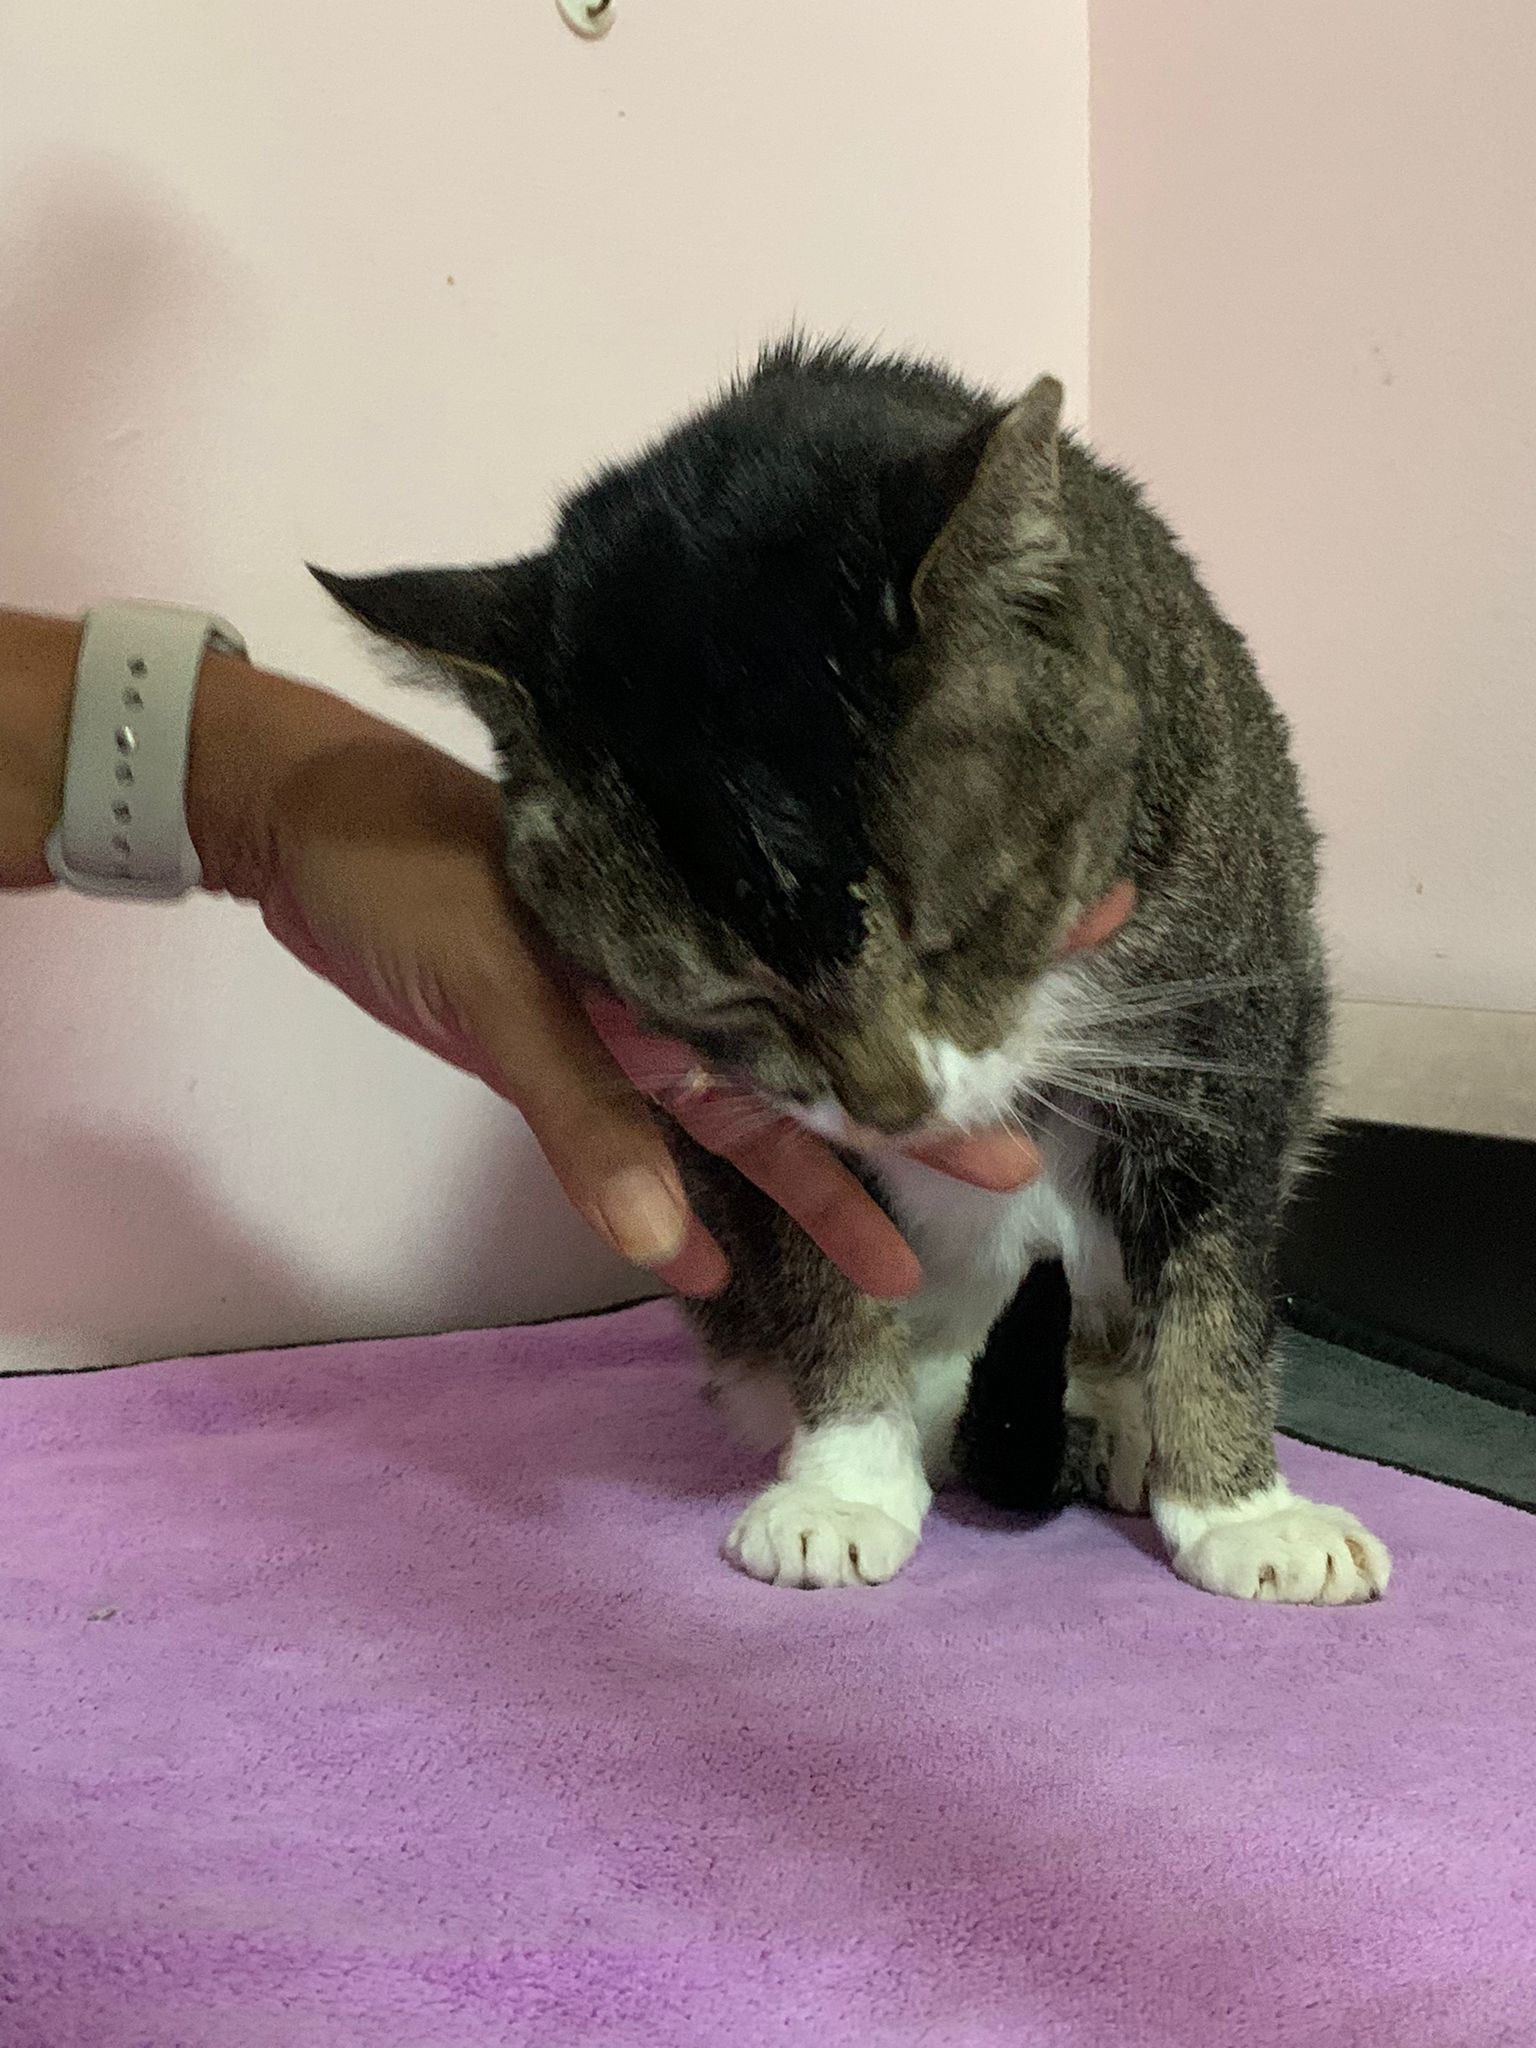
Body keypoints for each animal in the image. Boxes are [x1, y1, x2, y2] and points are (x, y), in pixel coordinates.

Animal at [315, 337, 1391, 1606]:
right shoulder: (746, 1139)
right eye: (735, 993)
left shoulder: (1228, 1029)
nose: (893, 1103)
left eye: (954, 928)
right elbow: (824, 1282)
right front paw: (848, 1482)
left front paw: (1241, 1507)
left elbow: (1213, 1277)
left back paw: (1116, 1422)